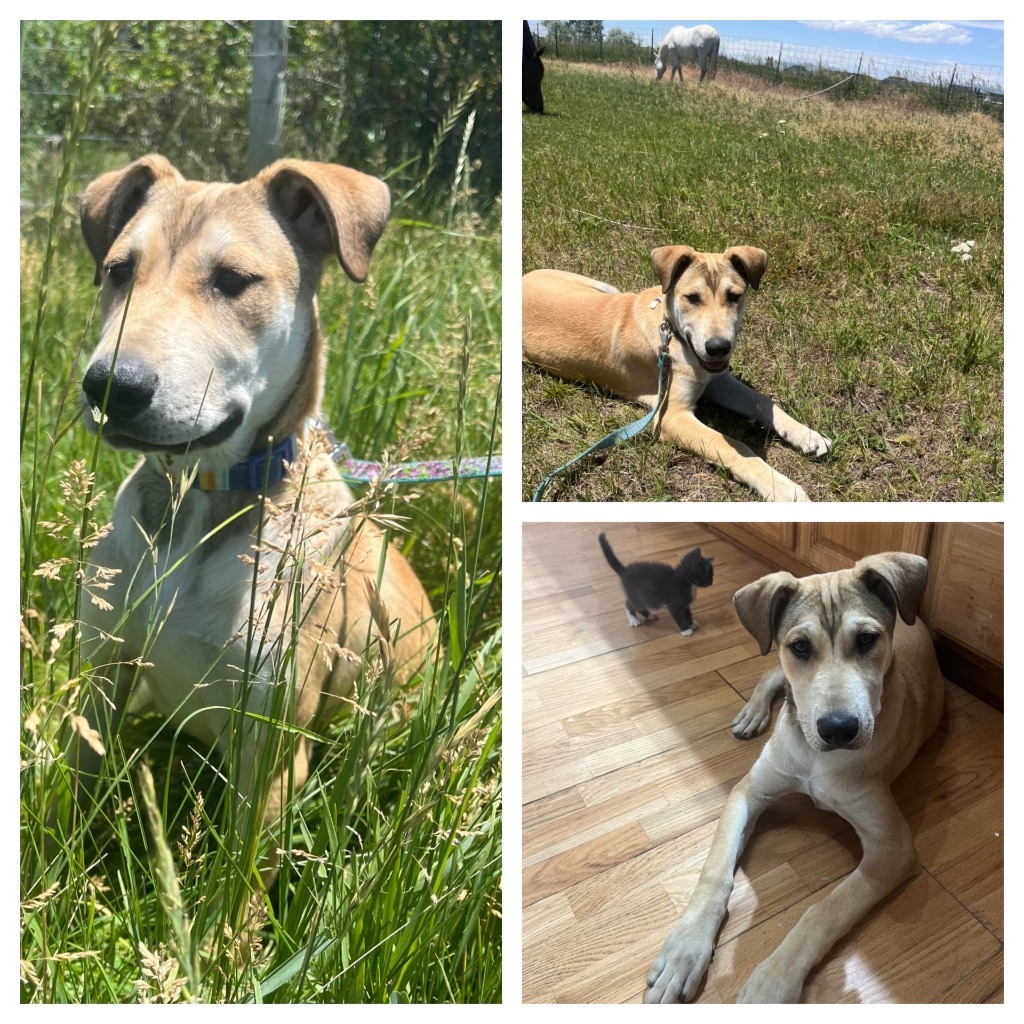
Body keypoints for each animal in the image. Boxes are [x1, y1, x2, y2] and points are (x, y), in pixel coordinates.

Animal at [64, 155, 432, 876]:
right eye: (119, 270)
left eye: (234, 280)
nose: (110, 386)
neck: (199, 500)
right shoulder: (102, 677)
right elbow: (80, 796)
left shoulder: (269, 749)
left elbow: (240, 880)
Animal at [520, 247, 831, 503]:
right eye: (692, 298)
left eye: (734, 296)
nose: (718, 348)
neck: (672, 334)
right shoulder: (672, 415)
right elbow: (730, 445)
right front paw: (782, 488)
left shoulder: (717, 380)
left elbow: (764, 401)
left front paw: (806, 435)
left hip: (604, 287)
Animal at [647, 552, 942, 999]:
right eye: (800, 646)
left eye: (867, 640)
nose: (838, 729)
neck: (816, 759)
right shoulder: (749, 791)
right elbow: (715, 871)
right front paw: (684, 949)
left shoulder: (893, 848)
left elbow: (824, 910)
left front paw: (773, 980)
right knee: (772, 673)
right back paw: (753, 713)